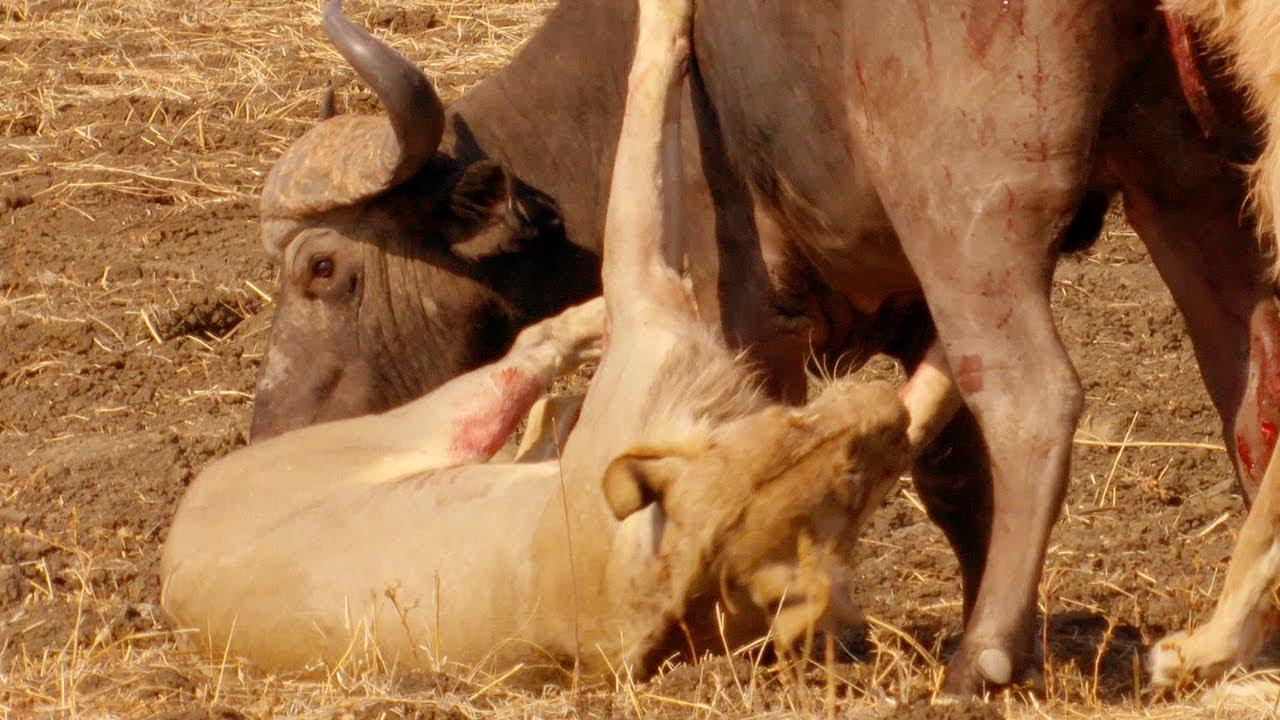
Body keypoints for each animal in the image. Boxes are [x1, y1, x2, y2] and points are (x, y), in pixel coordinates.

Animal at [248, 0, 1280, 694]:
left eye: (324, 267)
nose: (270, 431)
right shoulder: (909, 304)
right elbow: (951, 475)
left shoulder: (750, 322)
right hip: (1189, 183)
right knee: (1251, 388)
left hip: (974, 224)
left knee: (1034, 400)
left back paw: (978, 658)